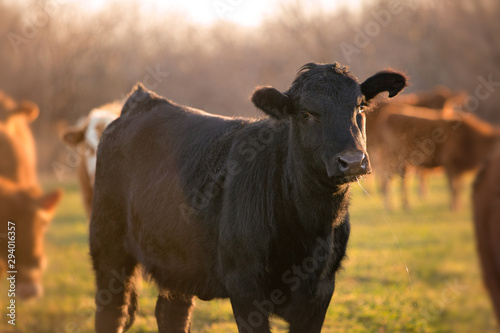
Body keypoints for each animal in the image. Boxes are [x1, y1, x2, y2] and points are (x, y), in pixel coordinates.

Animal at [88, 63, 404, 332]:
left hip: (177, 258)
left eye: (360, 107)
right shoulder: (244, 288)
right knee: (111, 312)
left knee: (171, 312)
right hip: (108, 245)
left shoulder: (321, 292)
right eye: (306, 114)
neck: (310, 228)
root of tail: (144, 99)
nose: (352, 161)